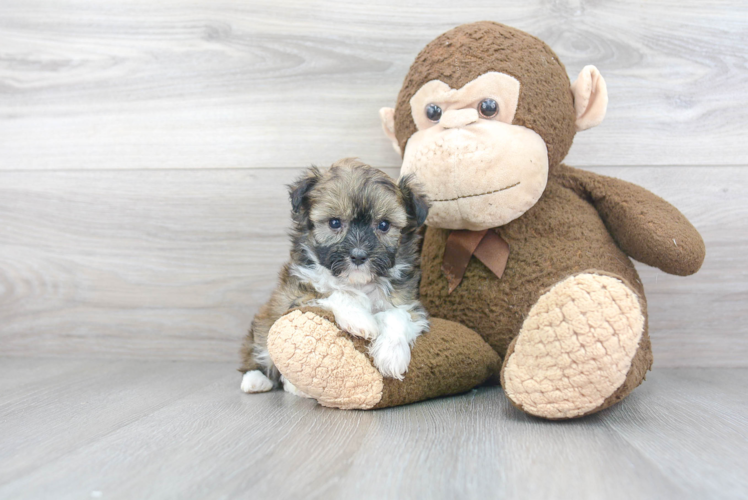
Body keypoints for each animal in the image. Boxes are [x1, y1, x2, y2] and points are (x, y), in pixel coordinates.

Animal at [237, 158, 430, 396]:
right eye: (335, 223)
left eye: (384, 225)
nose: (358, 255)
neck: (358, 282)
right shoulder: (296, 293)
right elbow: (334, 292)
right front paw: (361, 319)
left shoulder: (407, 301)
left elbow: (397, 315)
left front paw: (391, 354)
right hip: (263, 325)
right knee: (259, 351)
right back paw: (256, 379)